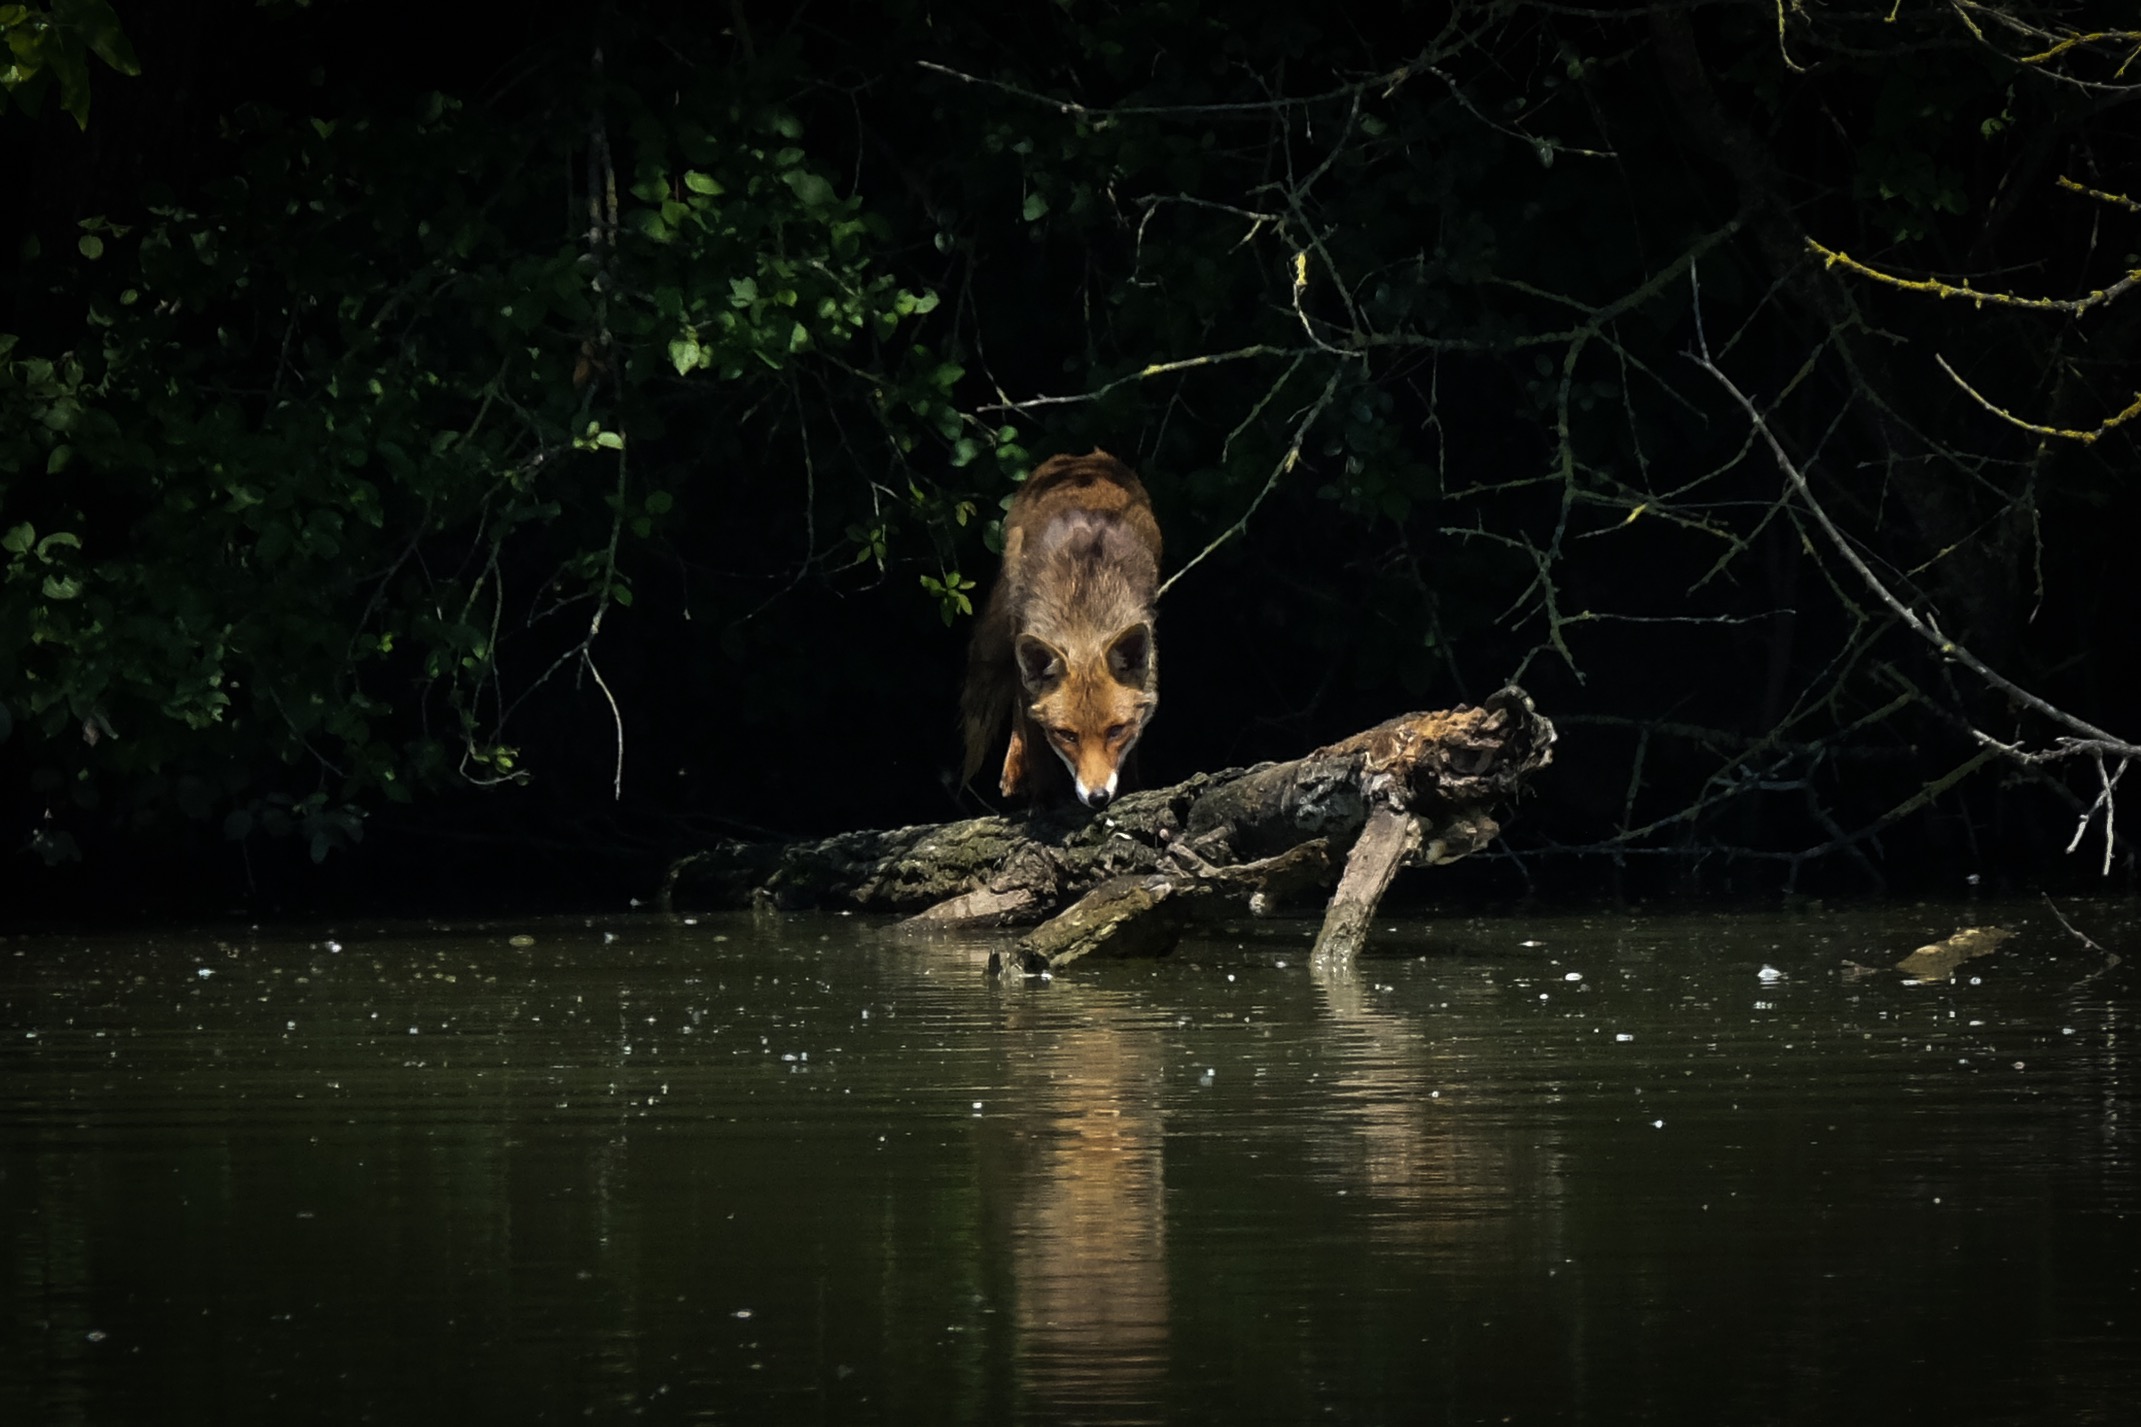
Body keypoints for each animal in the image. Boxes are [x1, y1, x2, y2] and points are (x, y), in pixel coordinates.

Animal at [959, 450, 1162, 811]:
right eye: (1068, 735)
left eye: (1115, 731)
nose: (1098, 797)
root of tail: (1079, 458)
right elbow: (1035, 737)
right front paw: (1044, 801)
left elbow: (1134, 742)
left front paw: (1132, 789)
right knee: (1019, 705)